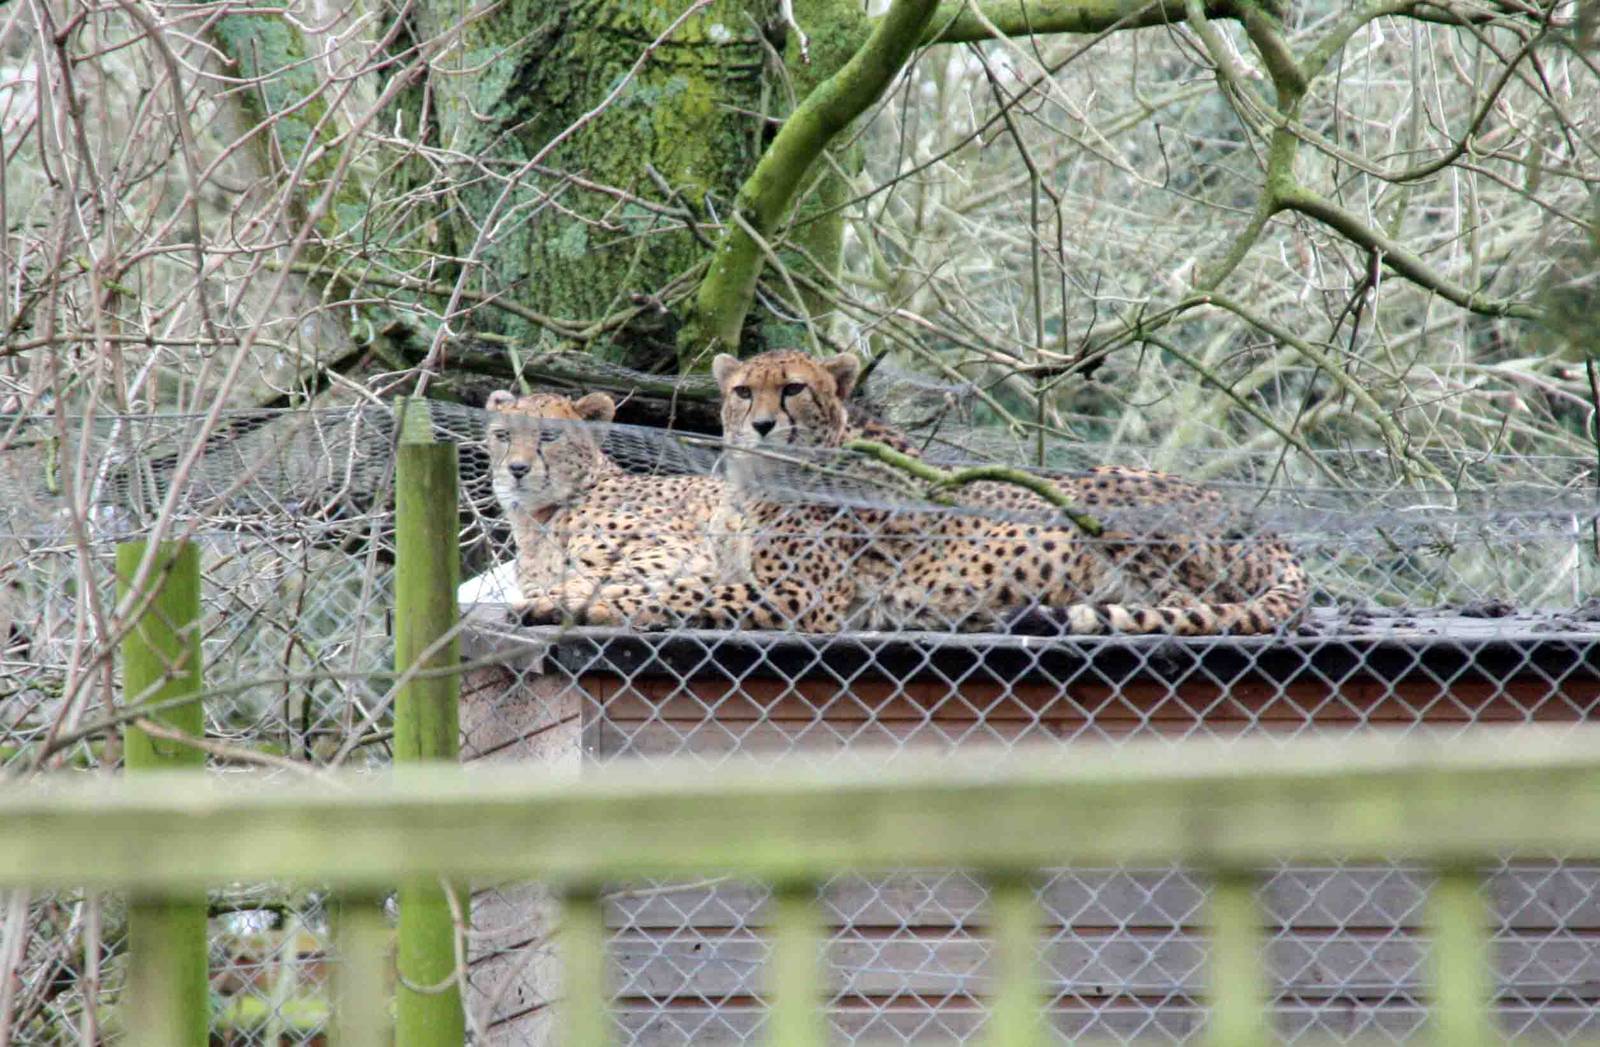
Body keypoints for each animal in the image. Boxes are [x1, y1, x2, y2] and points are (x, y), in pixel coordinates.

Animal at [515, 351, 1308, 636]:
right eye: (744, 392)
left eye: (793, 389)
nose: (764, 424)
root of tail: (1264, 524)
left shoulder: (799, 598)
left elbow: (665, 590)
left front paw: (567, 600)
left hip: (1108, 502)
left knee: (1192, 600)